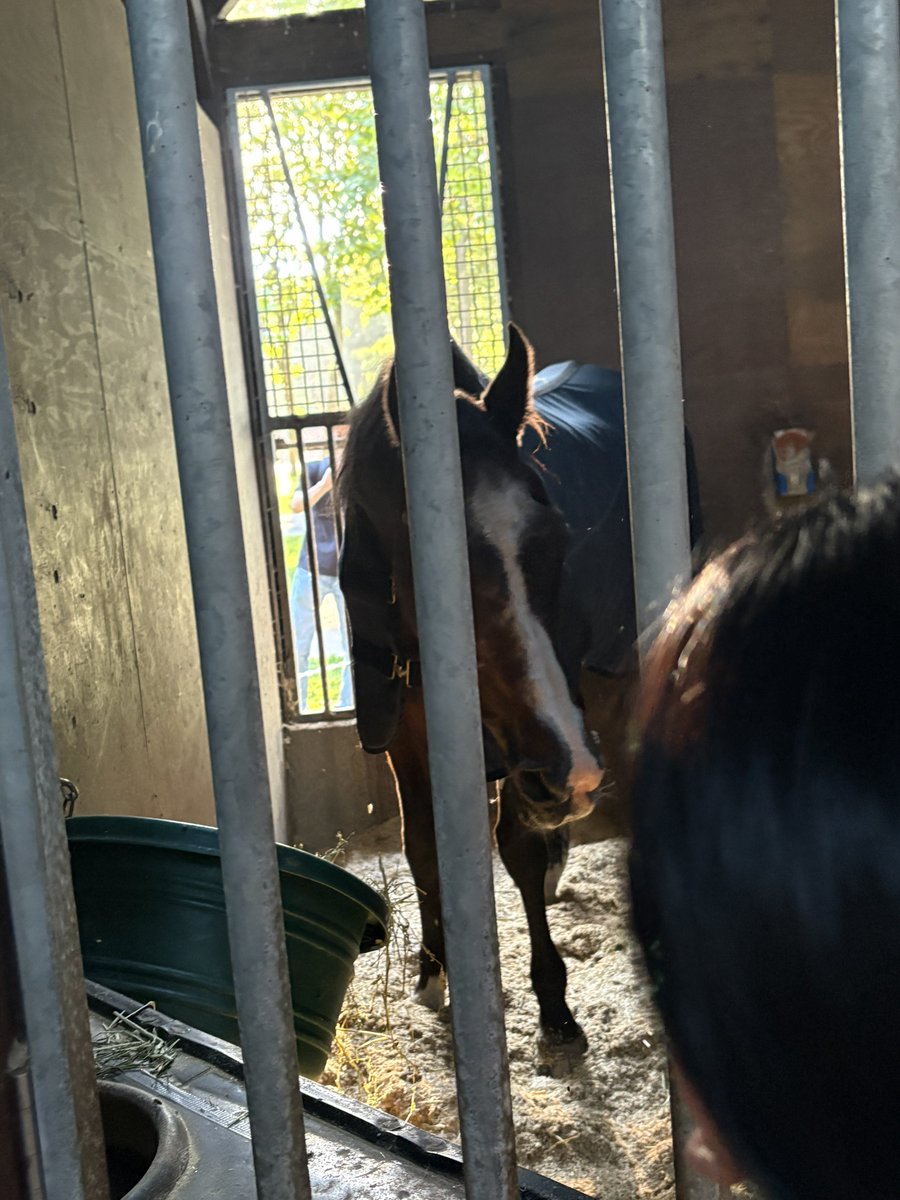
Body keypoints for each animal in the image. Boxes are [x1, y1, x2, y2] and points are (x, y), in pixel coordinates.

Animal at [338, 324, 701, 1057]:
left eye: (558, 539)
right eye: (438, 568)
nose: (574, 774)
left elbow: (519, 849)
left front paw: (555, 1010)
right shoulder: (410, 736)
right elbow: (426, 848)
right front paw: (434, 974)